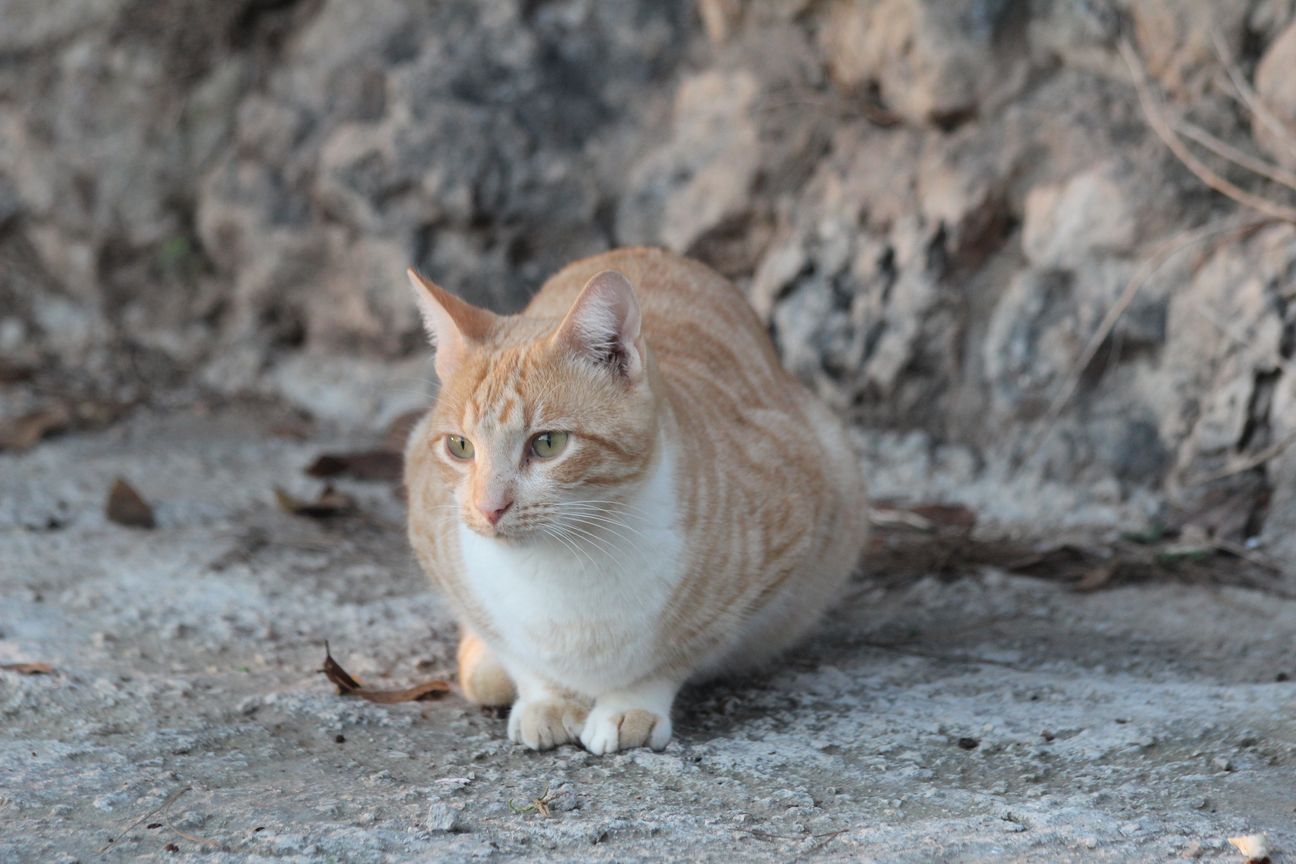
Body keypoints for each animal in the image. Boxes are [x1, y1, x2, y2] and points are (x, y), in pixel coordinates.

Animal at [401, 246, 870, 751]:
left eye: (547, 444)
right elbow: (517, 652)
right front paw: (546, 697)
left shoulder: (784, 534)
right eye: (459, 446)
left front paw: (630, 704)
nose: (490, 508)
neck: (563, 561)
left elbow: (675, 652)